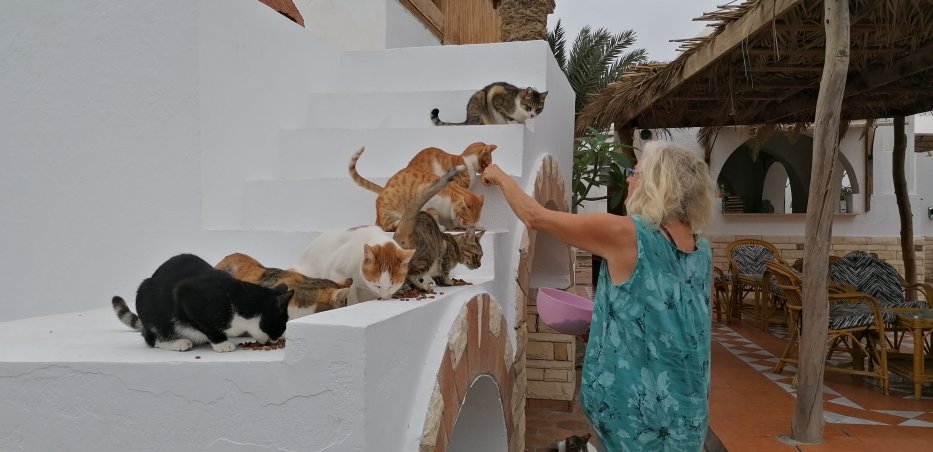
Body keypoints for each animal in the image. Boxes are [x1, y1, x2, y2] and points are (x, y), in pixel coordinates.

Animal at [111, 253, 293, 352]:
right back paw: (177, 342)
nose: (277, 340)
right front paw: (221, 343)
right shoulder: (187, 295)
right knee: (152, 338)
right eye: (279, 326)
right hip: (147, 300)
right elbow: (206, 325)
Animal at [348, 147, 484, 232]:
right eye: (465, 222)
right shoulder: (427, 203)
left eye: (472, 223)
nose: (468, 229)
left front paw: (479, 225)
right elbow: (433, 215)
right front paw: (441, 228)